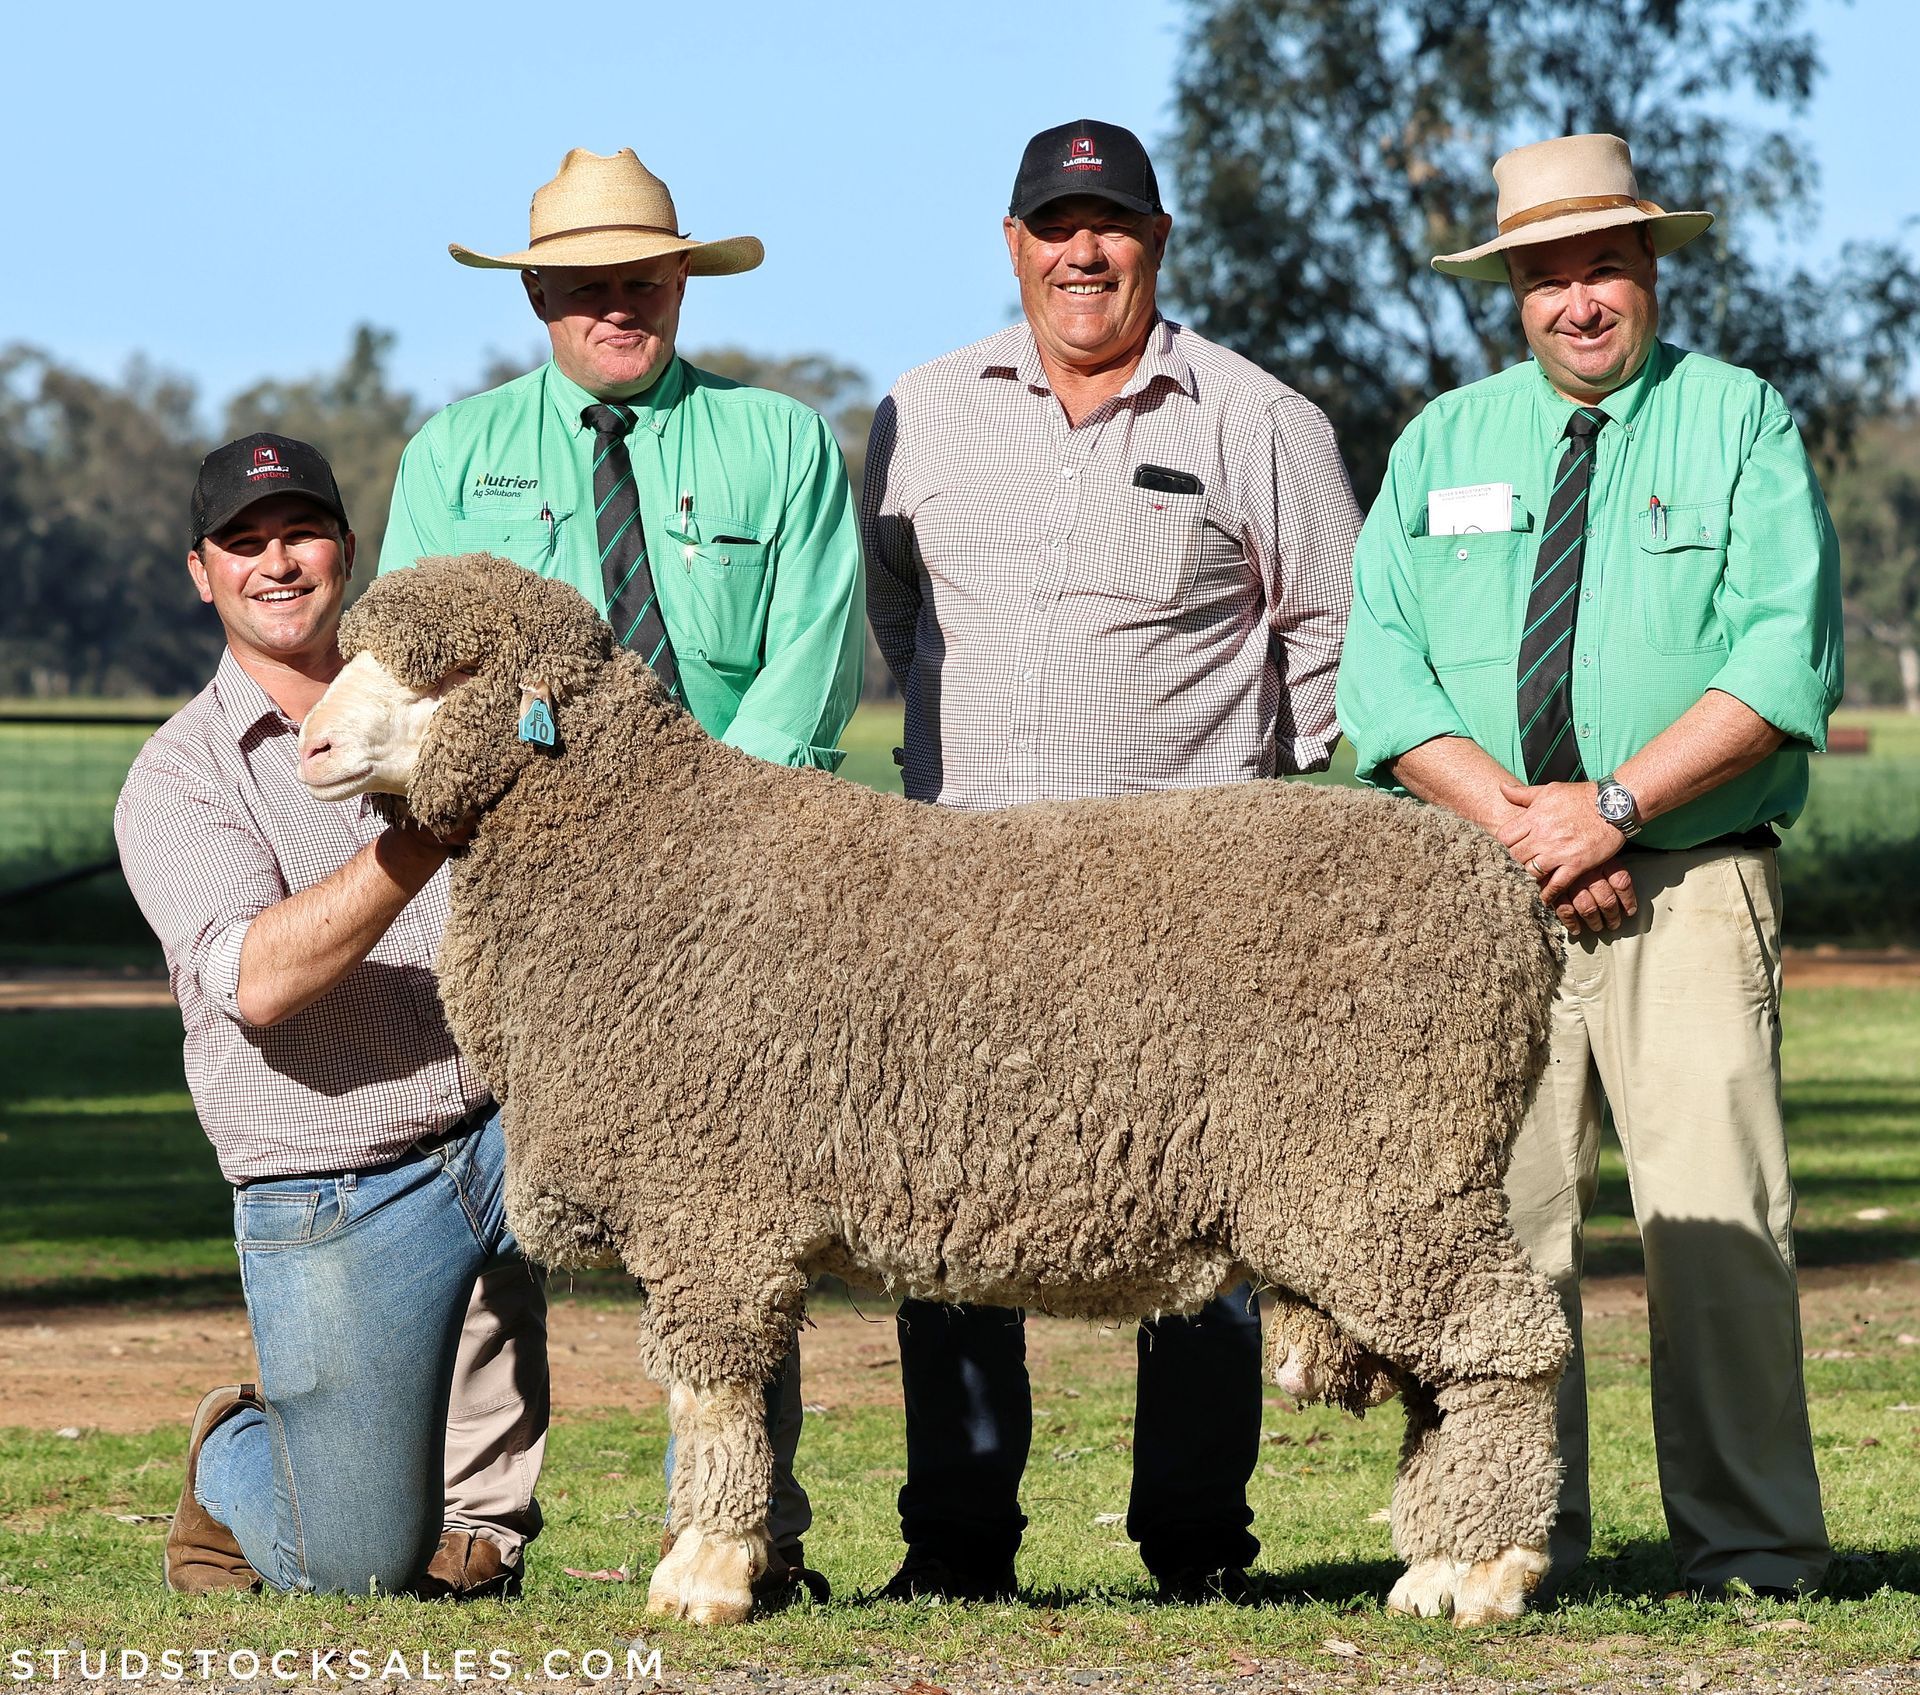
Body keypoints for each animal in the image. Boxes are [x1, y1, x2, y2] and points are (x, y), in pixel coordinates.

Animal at [298, 552, 1571, 1630]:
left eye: (445, 675)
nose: (308, 743)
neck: (644, 852)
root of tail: (1509, 902)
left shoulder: (707, 1206)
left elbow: (710, 1401)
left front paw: (702, 1575)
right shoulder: (734, 1209)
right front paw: (742, 1563)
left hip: (1384, 1174)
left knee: (1508, 1348)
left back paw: (1486, 1572)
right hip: (1393, 1186)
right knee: (1448, 1380)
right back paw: (1439, 1560)